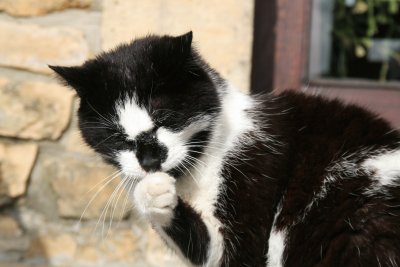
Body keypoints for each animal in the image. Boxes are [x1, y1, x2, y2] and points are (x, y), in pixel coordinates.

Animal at [50, 31, 400, 267]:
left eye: (164, 117)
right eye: (115, 135)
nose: (149, 159)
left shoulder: (255, 181)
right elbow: (201, 244)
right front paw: (152, 193)